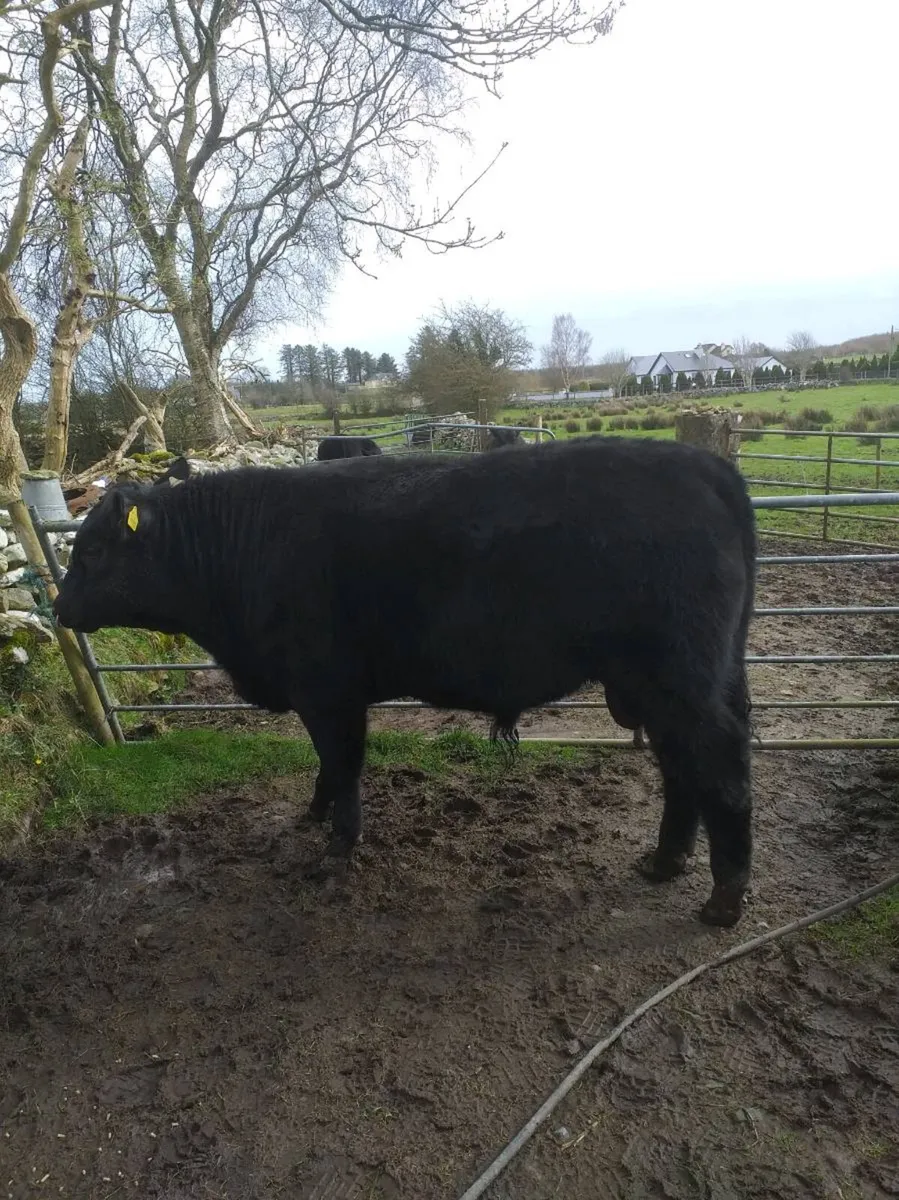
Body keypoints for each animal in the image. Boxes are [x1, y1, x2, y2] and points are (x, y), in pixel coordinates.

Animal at [53, 436, 757, 927]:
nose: (58, 610)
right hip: (673, 682)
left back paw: (723, 900)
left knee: (717, 764)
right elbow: (327, 765)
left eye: (91, 551)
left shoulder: (326, 688)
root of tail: (704, 464)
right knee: (682, 770)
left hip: (678, 679)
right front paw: (314, 814)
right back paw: (663, 862)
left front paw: (336, 848)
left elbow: (342, 763)